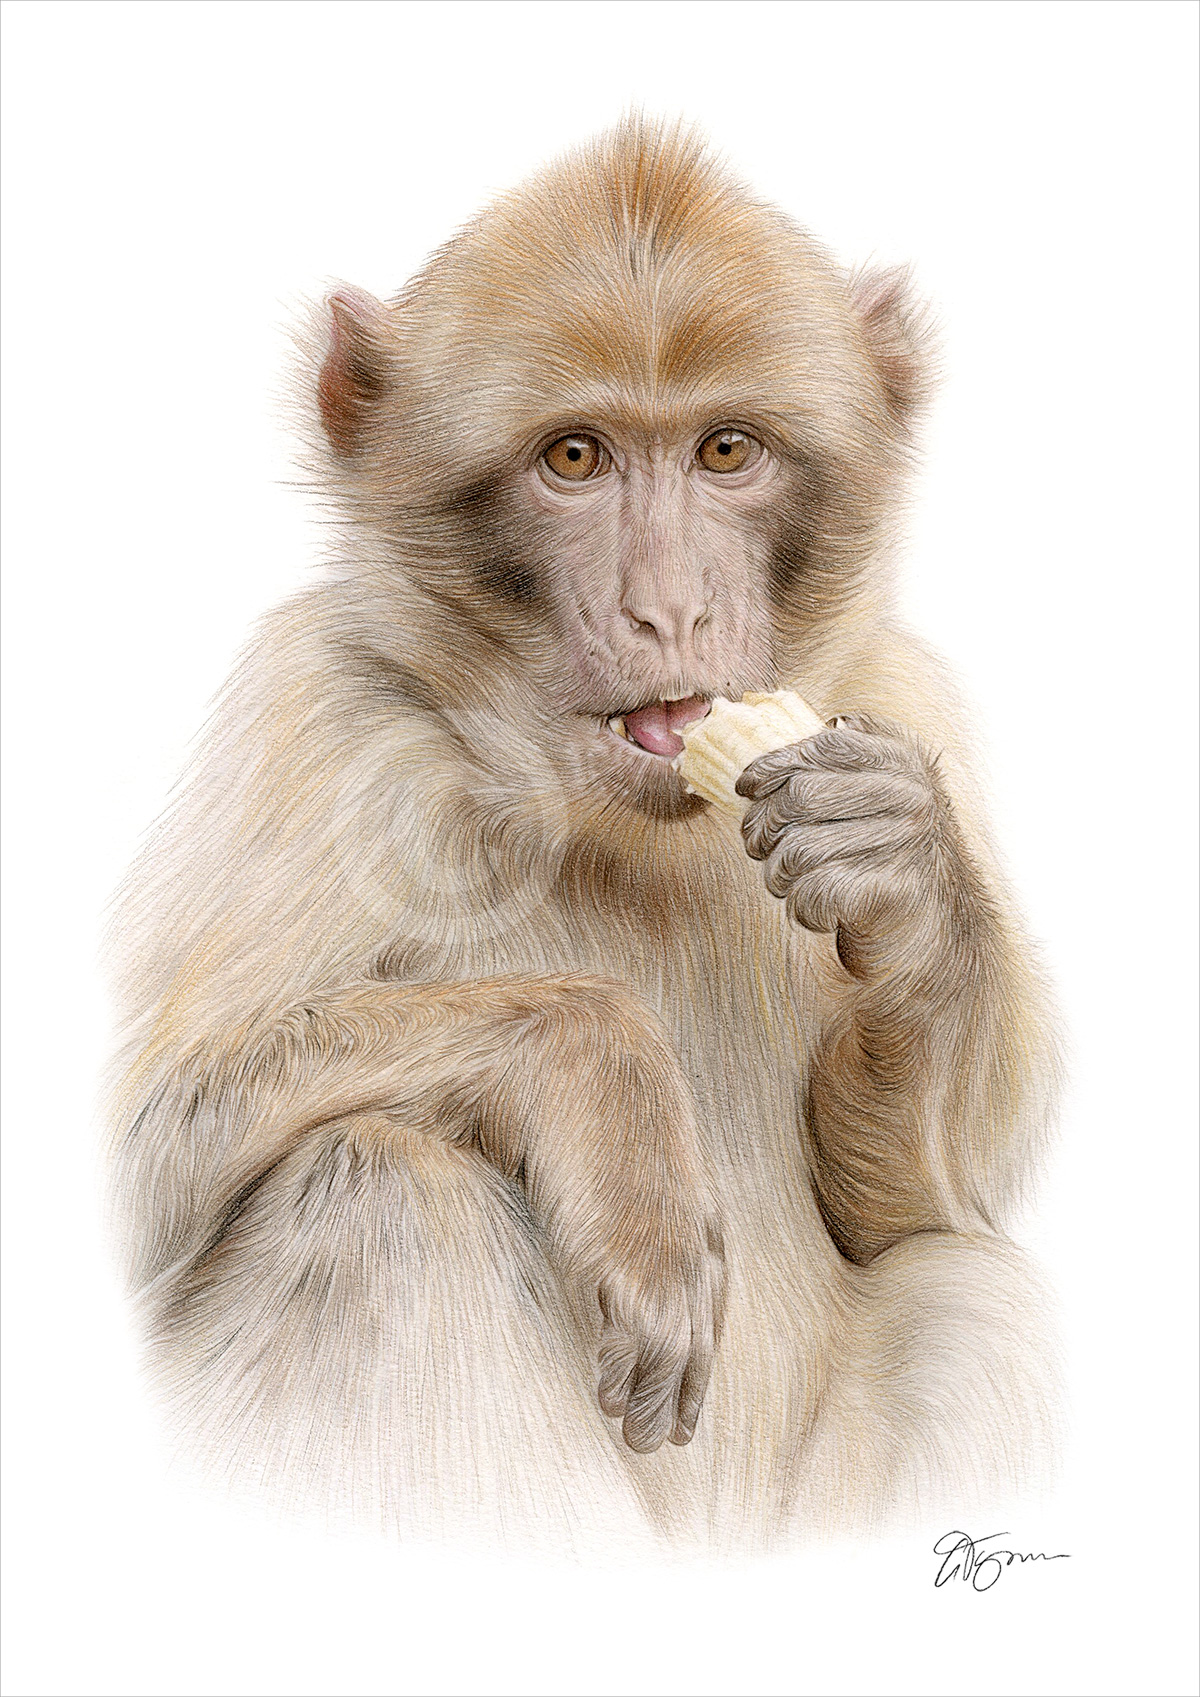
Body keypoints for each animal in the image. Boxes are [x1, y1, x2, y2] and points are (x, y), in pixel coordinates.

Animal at [105, 118, 1060, 1554]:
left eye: (727, 451)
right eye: (574, 459)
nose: (668, 610)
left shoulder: (896, 695)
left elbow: (917, 1205)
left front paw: (904, 874)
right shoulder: (322, 728)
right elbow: (153, 1149)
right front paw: (612, 1097)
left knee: (973, 1293)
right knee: (380, 1189)